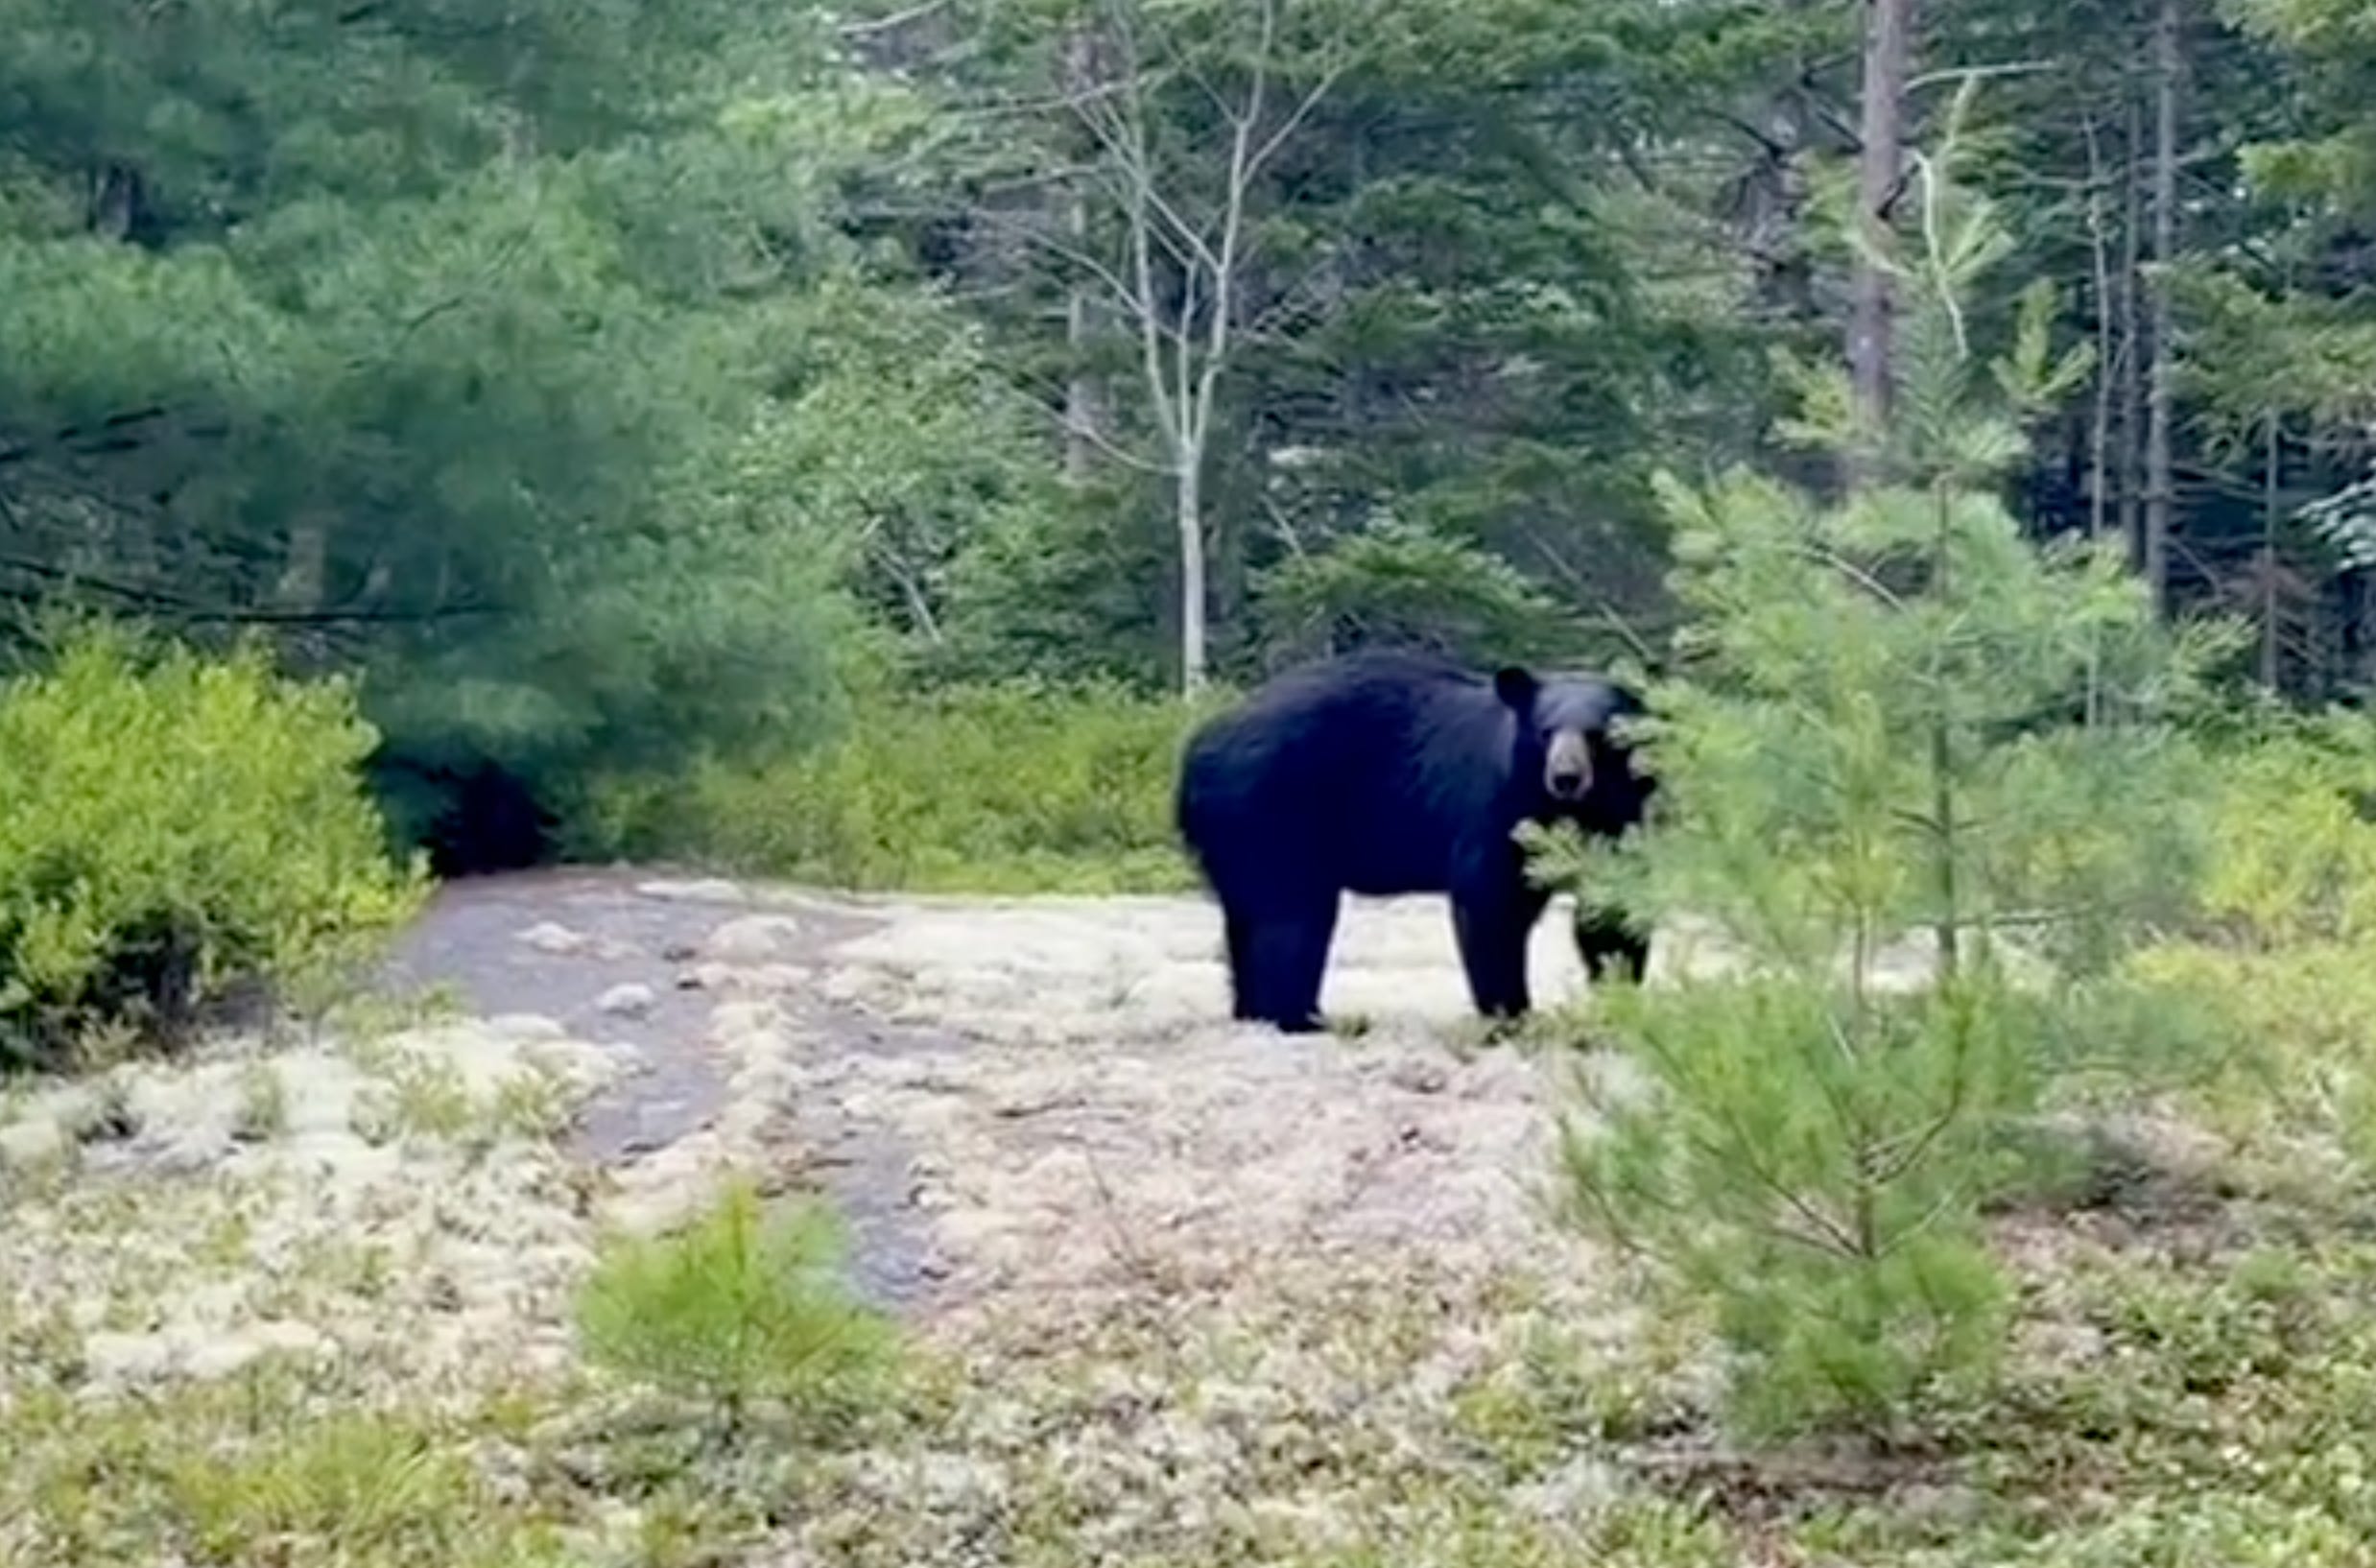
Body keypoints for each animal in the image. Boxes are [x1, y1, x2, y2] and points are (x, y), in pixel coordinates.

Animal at [1174, 647, 1658, 1033]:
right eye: (1546, 731)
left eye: (1597, 735)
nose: (1566, 777)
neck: (1569, 810)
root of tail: (1197, 747)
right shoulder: (1494, 809)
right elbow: (1491, 903)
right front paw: (1512, 1012)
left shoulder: (1619, 820)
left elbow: (1612, 913)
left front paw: (1619, 993)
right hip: (1271, 811)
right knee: (1291, 918)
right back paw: (1303, 1017)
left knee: (1250, 918)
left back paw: (1258, 1011)